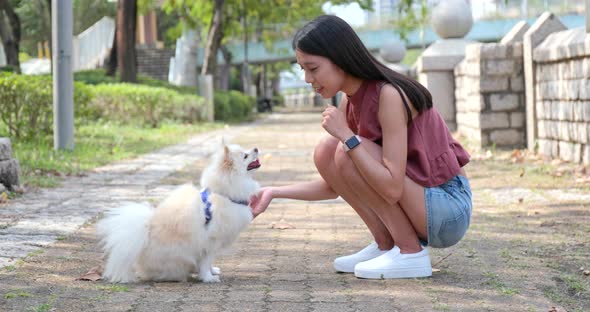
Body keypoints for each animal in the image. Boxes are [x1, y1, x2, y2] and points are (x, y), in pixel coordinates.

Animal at [97, 143, 262, 284]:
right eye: (245, 156)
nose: (256, 148)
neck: (224, 194)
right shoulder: (210, 241)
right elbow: (206, 261)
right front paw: (208, 278)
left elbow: (209, 262)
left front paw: (212, 271)